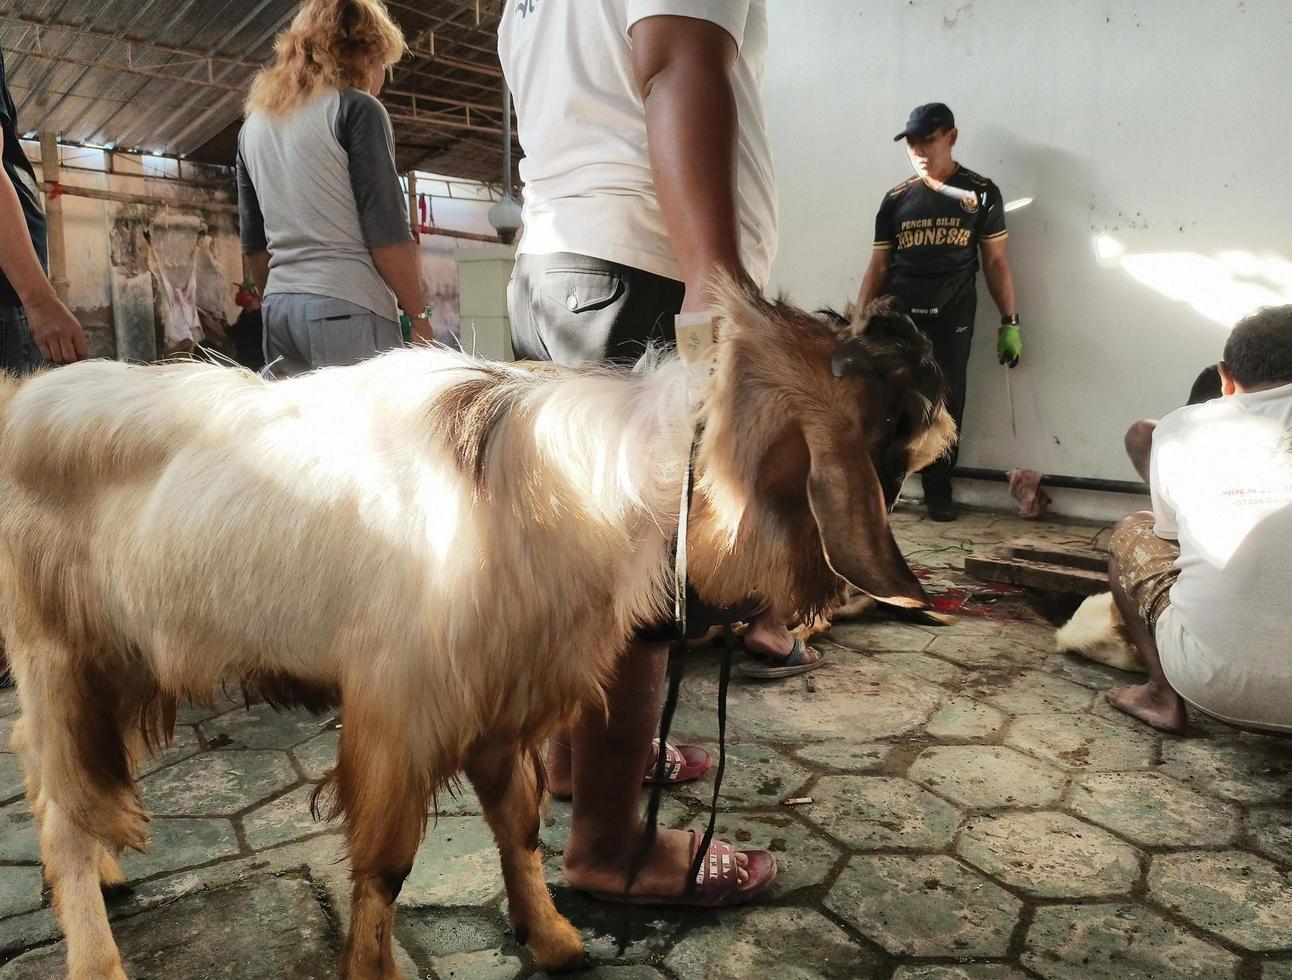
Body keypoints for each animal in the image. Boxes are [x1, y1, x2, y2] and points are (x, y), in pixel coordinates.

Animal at [0, 280, 950, 976]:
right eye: (887, 413)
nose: (919, 325)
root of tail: (22, 401)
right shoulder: (401, 708)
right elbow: (386, 867)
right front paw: (372, 971)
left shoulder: (504, 694)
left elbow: (520, 825)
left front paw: (555, 940)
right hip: (55, 654)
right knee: (59, 807)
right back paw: (94, 953)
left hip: (117, 662)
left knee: (59, 784)